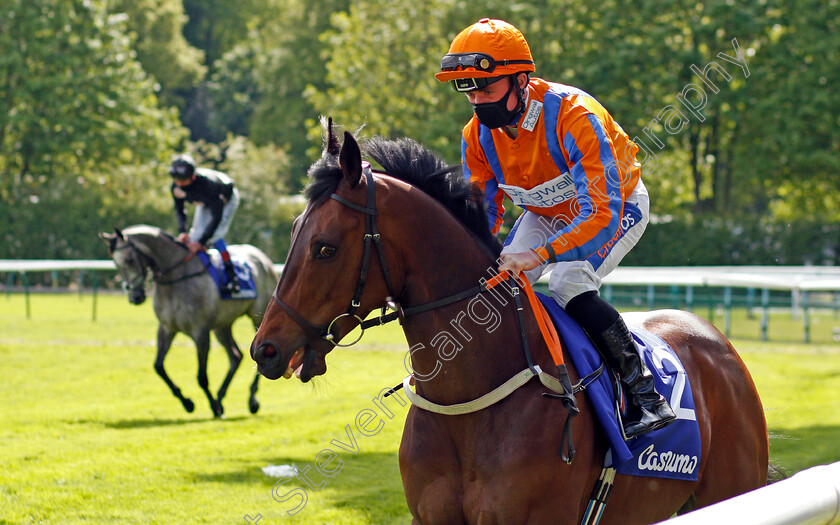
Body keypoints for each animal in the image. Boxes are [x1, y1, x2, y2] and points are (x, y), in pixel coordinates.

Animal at [98, 225, 276, 418]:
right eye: (115, 263)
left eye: (129, 260)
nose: (135, 297)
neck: (176, 279)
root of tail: (263, 258)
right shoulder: (167, 328)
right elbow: (158, 366)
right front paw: (188, 403)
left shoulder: (201, 331)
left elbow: (202, 377)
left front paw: (213, 407)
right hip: (222, 325)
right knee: (235, 356)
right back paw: (221, 397)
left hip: (257, 318)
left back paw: (251, 400)